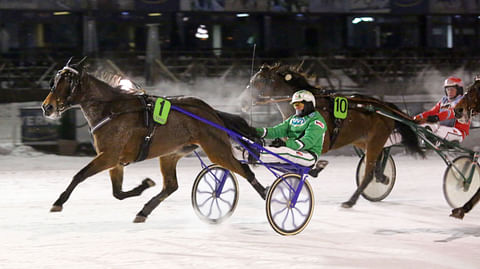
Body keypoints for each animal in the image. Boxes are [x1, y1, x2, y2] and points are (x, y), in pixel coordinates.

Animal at [40, 58, 266, 222]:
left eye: (67, 83)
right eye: (54, 82)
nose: (47, 107)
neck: (112, 110)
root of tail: (211, 111)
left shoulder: (108, 156)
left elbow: (79, 175)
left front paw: (59, 201)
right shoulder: (114, 160)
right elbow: (118, 193)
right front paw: (144, 185)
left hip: (217, 150)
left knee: (245, 170)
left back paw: (267, 196)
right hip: (170, 154)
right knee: (171, 186)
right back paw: (144, 211)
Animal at [240, 63, 424, 207]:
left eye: (257, 82)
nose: (242, 102)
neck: (309, 107)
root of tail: (384, 106)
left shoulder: (322, 144)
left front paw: (316, 169)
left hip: (375, 141)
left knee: (368, 174)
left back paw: (351, 201)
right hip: (362, 141)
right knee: (376, 163)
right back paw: (382, 176)